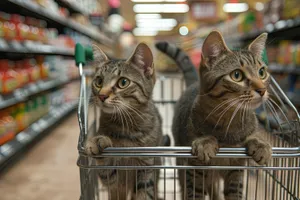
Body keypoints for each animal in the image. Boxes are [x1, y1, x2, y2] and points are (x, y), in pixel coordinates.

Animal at [85, 43, 163, 199]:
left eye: (123, 82)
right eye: (99, 81)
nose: (102, 96)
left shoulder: (147, 169)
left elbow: (144, 193)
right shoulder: (111, 180)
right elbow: (107, 168)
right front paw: (97, 141)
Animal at [158, 30, 274, 199]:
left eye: (262, 72)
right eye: (237, 75)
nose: (262, 90)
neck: (230, 120)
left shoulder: (237, 168)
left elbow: (234, 193)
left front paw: (260, 144)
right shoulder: (195, 169)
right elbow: (195, 192)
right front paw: (205, 141)